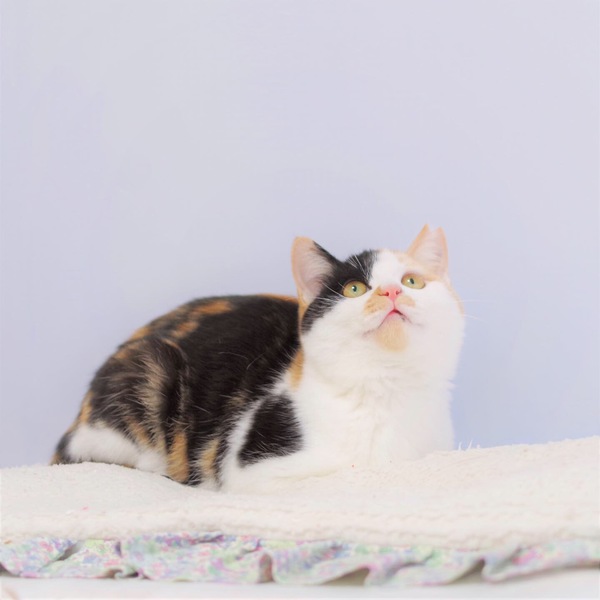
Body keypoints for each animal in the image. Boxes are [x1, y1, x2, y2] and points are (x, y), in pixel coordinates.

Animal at [52, 225, 464, 493]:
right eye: (354, 289)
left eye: (412, 281)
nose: (392, 291)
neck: (388, 388)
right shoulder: (252, 468)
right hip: (149, 370)